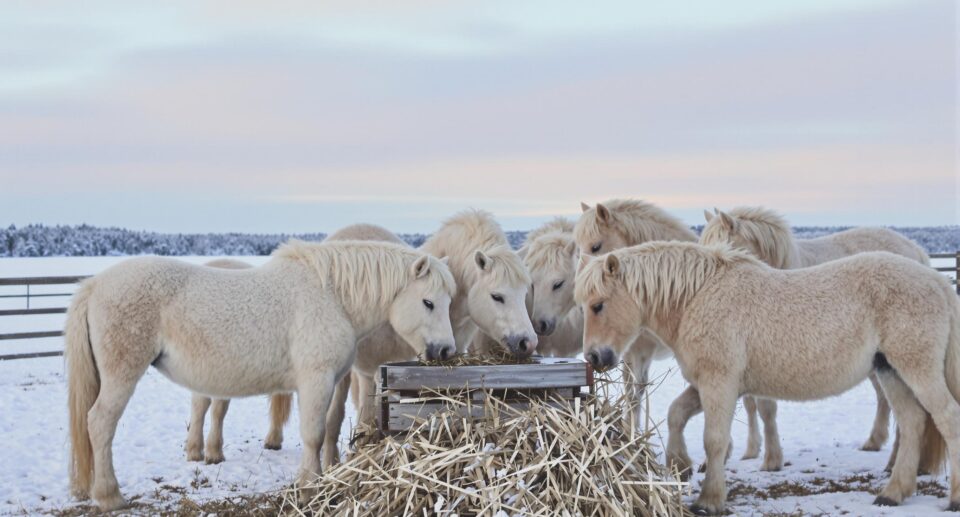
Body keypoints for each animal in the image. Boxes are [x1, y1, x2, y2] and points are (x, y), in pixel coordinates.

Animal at [576, 243, 960, 516]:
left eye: (598, 305)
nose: (594, 358)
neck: (697, 298)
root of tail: (938, 282)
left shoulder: (719, 384)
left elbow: (714, 440)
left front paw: (709, 500)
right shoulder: (708, 384)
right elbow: (676, 414)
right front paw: (680, 465)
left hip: (916, 368)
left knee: (946, 418)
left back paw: (952, 498)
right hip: (890, 371)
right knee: (912, 422)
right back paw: (894, 493)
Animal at [688, 206, 932, 472]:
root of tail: (914, 249)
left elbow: (765, 408)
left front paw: (771, 460)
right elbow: (750, 404)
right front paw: (747, 451)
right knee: (884, 397)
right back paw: (875, 443)